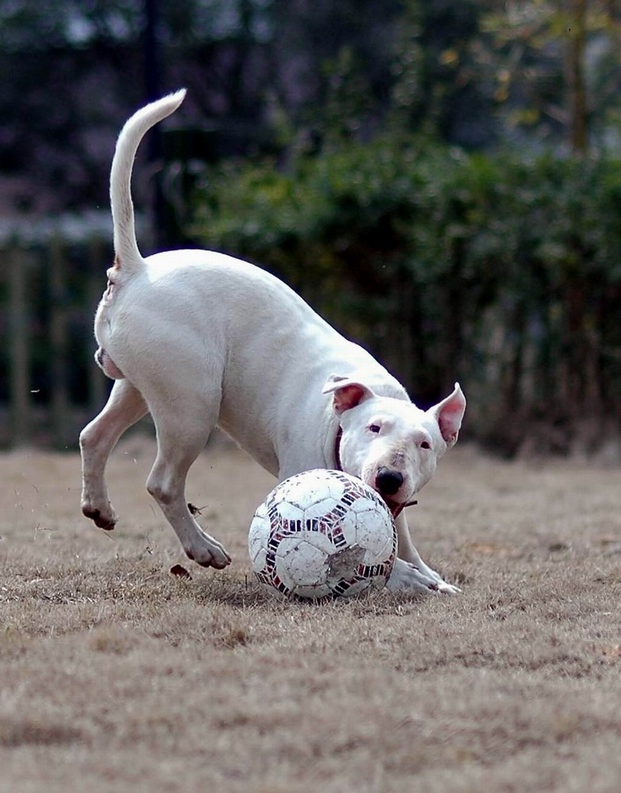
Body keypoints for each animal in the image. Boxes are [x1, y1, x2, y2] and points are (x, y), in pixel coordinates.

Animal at [78, 89, 464, 592]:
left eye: (425, 444)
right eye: (374, 428)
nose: (390, 477)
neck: (337, 423)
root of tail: (136, 271)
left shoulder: (394, 508)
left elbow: (402, 537)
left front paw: (429, 574)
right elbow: (374, 555)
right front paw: (410, 578)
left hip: (140, 385)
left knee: (94, 436)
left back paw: (99, 508)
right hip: (190, 404)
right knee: (163, 482)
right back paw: (203, 548)